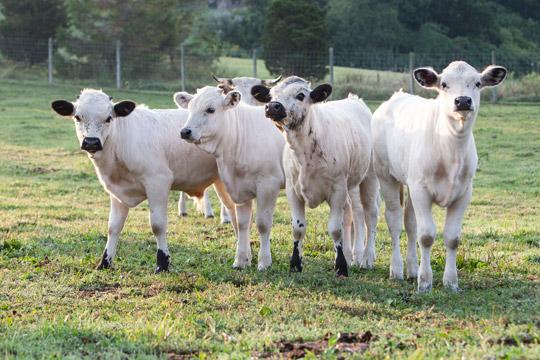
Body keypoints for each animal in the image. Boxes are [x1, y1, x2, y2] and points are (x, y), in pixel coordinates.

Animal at [50, 90, 234, 272]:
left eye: (109, 118)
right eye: (77, 117)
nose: (91, 142)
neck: (121, 143)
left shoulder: (158, 182)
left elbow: (157, 225)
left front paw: (163, 263)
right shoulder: (117, 191)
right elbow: (113, 227)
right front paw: (105, 262)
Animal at [177, 88, 286, 270]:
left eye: (211, 109)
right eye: (190, 108)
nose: (185, 131)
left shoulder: (268, 185)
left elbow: (263, 224)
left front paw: (264, 261)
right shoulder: (239, 190)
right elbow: (242, 224)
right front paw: (241, 260)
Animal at [254, 76, 378, 276]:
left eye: (300, 95)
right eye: (271, 95)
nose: (273, 106)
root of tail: (354, 100)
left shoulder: (337, 190)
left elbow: (335, 229)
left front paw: (341, 266)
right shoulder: (293, 191)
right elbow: (298, 228)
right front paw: (295, 263)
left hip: (369, 177)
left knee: (370, 215)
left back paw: (367, 257)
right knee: (351, 214)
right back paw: (351, 255)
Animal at [372, 61, 506, 292]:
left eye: (477, 83)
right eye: (444, 84)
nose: (463, 100)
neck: (451, 148)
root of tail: (396, 97)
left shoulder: (464, 193)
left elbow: (452, 238)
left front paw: (451, 282)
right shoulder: (421, 190)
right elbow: (426, 236)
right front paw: (425, 282)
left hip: (410, 183)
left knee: (410, 223)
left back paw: (412, 269)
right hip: (386, 176)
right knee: (395, 221)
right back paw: (396, 270)